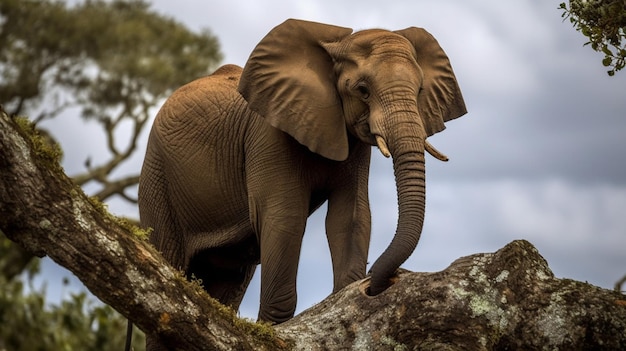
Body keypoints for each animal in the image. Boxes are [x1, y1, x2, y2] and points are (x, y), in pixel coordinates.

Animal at [139, 18, 466, 350]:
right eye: (362, 90)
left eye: (420, 89)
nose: (377, 281)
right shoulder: (268, 133)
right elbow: (285, 219)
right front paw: (276, 328)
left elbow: (350, 217)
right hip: (156, 177)